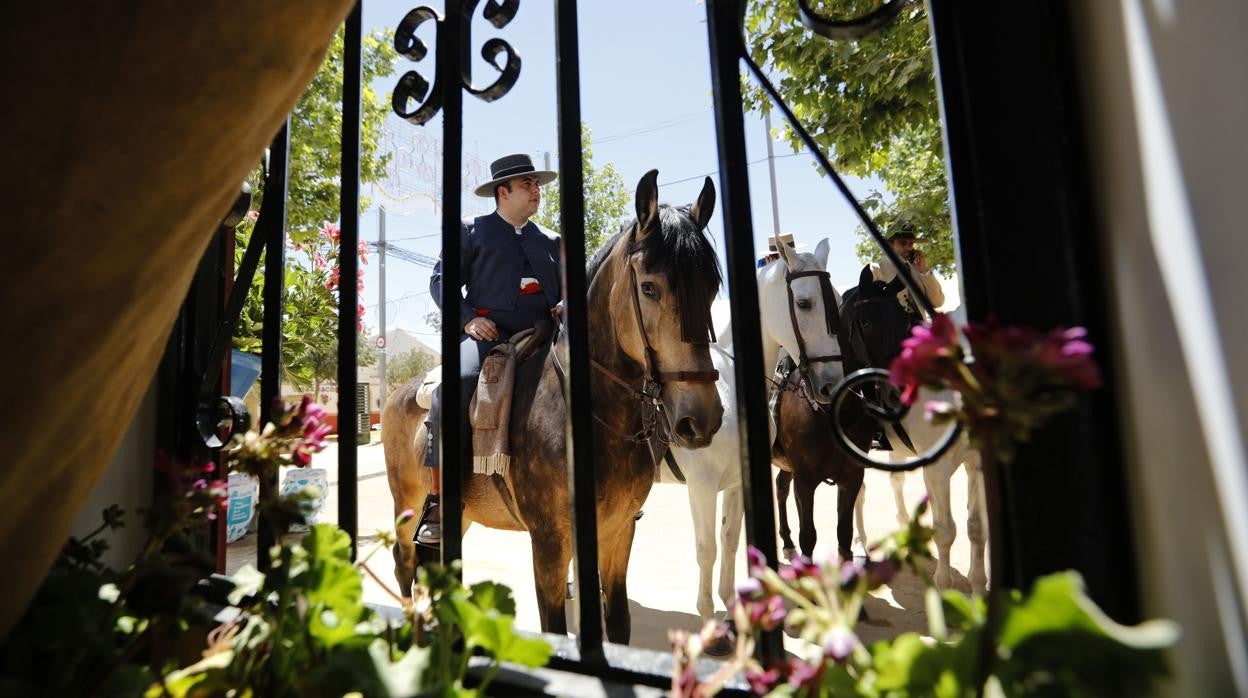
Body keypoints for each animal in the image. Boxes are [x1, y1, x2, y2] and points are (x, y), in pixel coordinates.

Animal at [384, 171, 728, 644]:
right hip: (408, 504)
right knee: (405, 565)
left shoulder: (618, 532)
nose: (702, 417)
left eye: (711, 286)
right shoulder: (549, 543)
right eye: (649, 287)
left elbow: (617, 623)